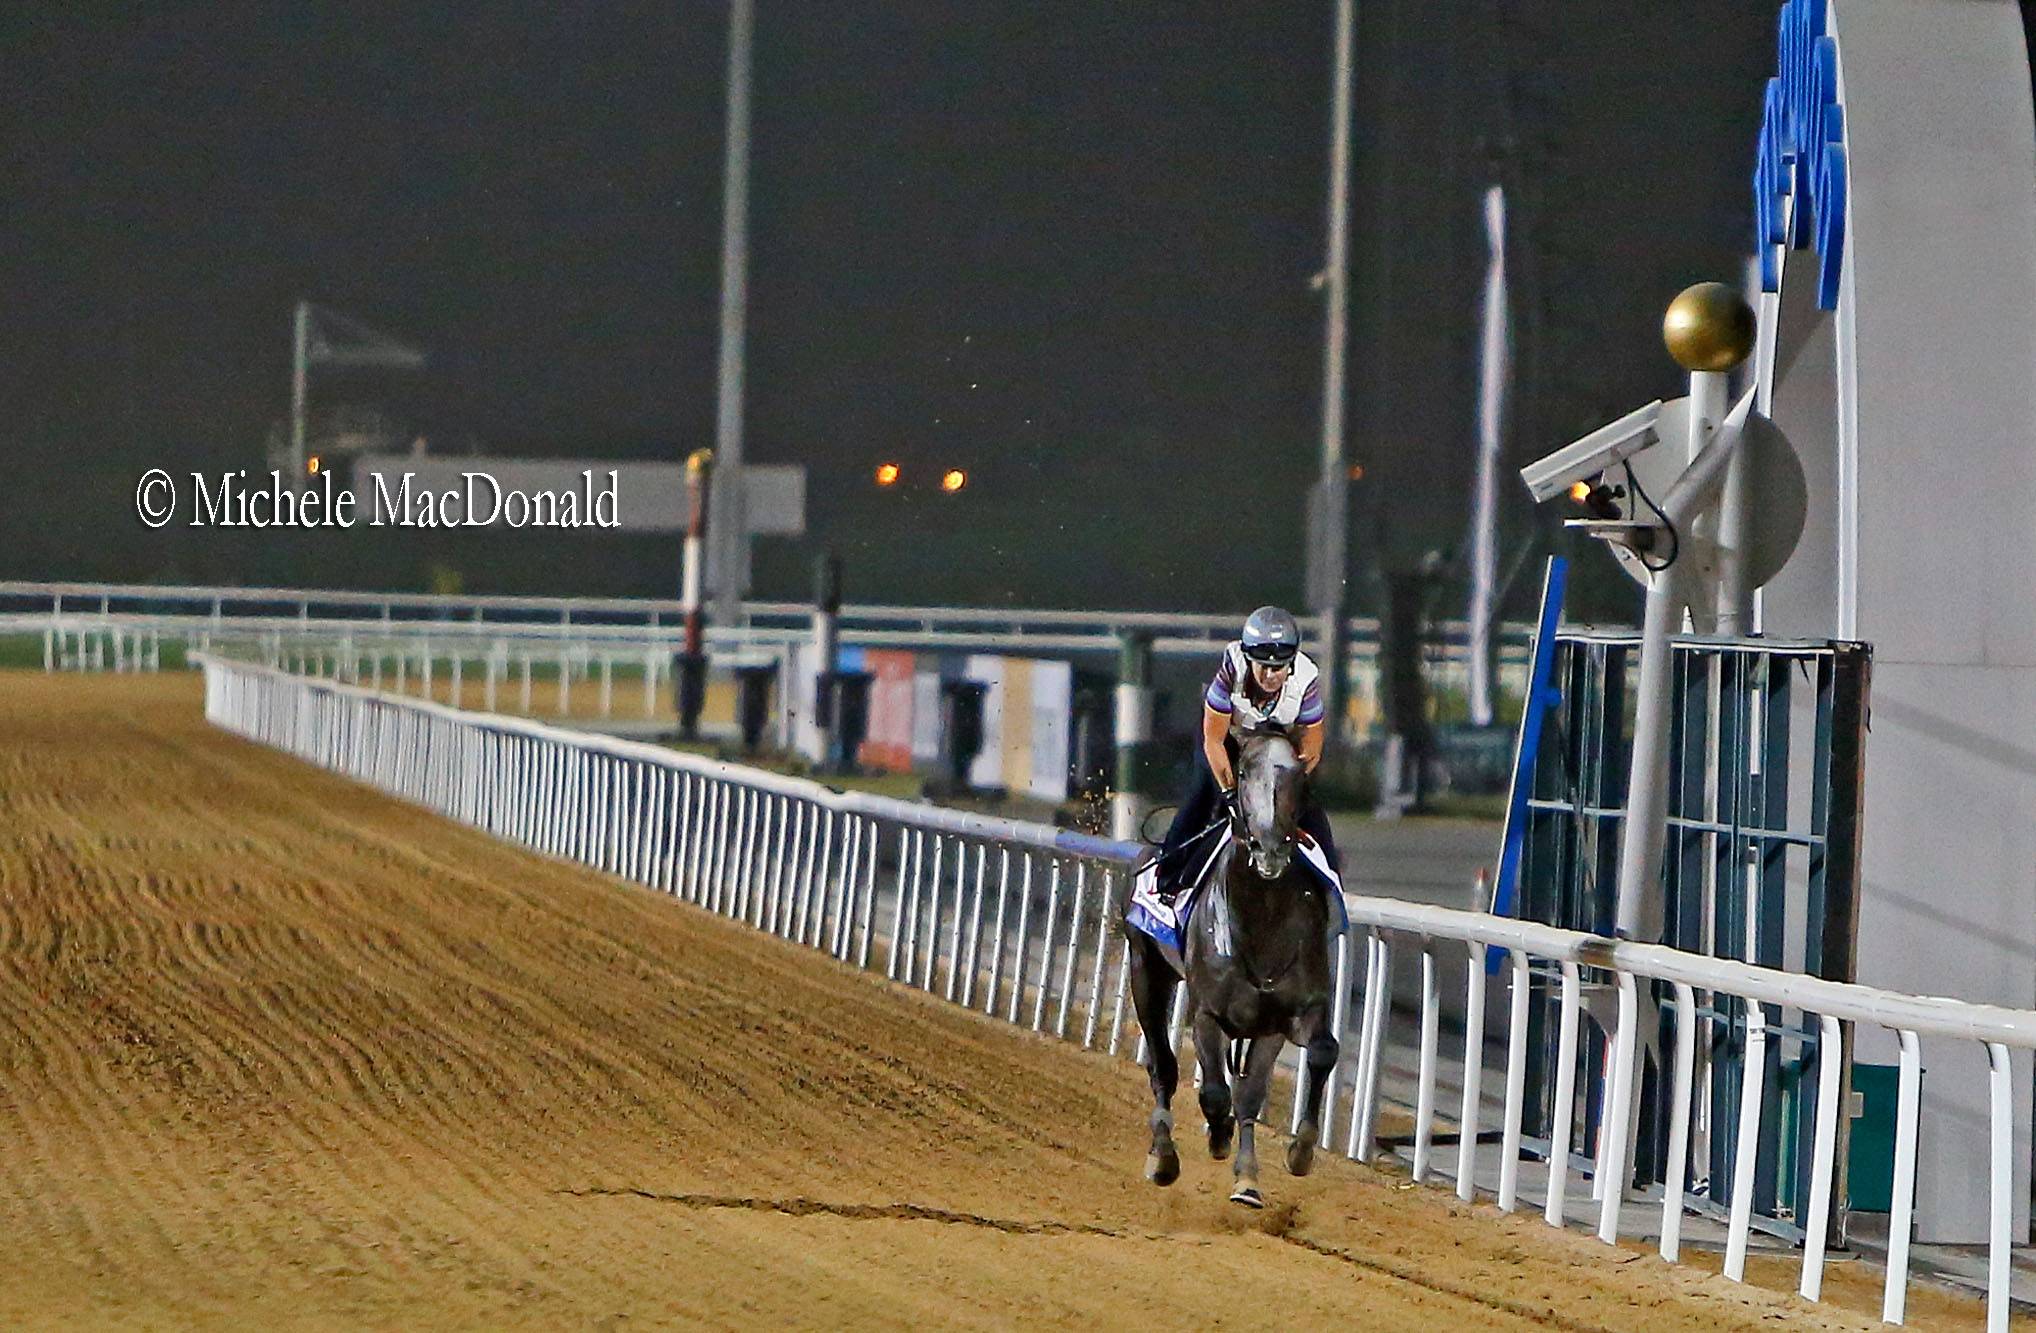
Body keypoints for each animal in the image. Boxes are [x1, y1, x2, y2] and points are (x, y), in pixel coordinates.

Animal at [1123, 728, 1343, 1212]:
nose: (1270, 847)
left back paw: (1246, 1178)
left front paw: (1299, 1152)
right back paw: (1163, 1156)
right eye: (1243, 772)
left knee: (1247, 1093)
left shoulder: (1290, 1013)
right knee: (1163, 1066)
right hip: (1146, 971)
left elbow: (1320, 1053)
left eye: (1298, 774)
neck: (1262, 919)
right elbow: (1211, 1091)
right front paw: (1215, 1136)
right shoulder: (1207, 1013)